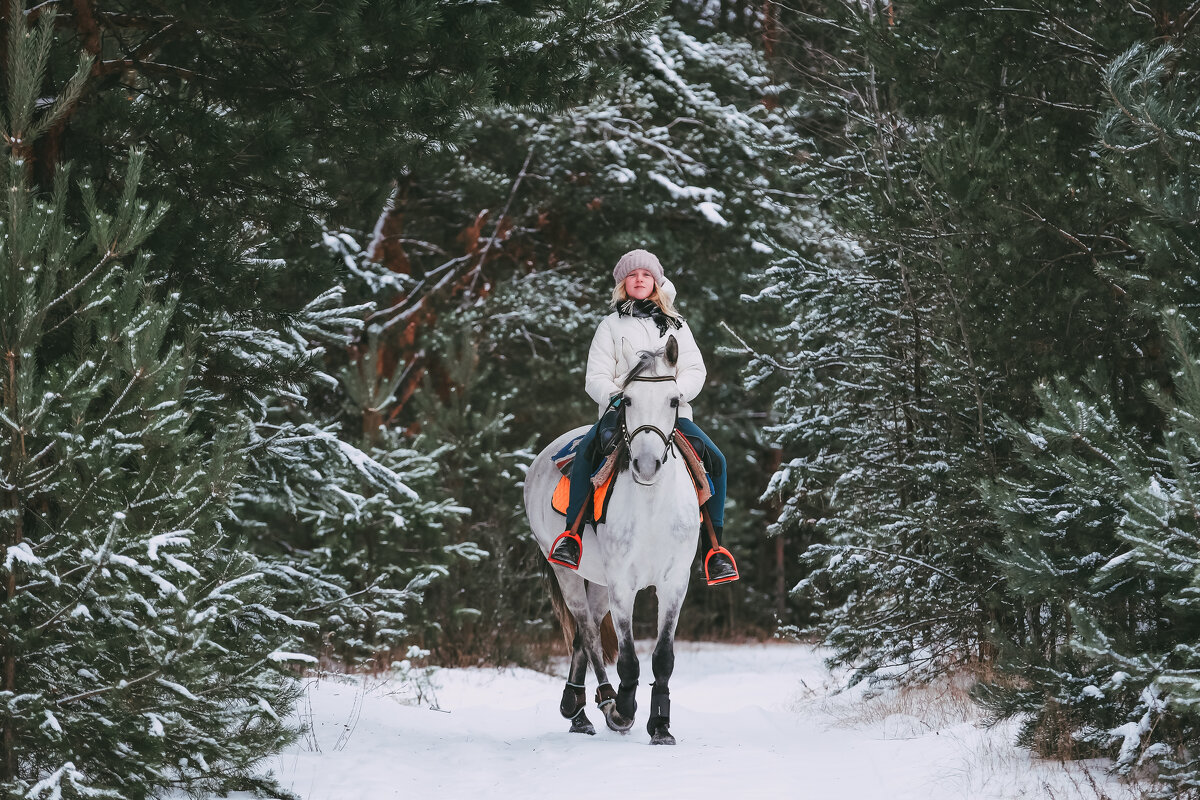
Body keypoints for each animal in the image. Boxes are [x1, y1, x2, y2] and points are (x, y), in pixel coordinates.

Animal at [520, 335, 700, 743]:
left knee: (581, 636)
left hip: (598, 581)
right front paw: (625, 710)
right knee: (587, 632)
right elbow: (629, 657)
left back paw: (578, 710)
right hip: (567, 572)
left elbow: (663, 657)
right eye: (627, 400)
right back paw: (600, 705)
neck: (652, 505)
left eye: (674, 400)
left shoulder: (674, 584)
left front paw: (660, 726)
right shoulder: (623, 584)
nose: (646, 466)